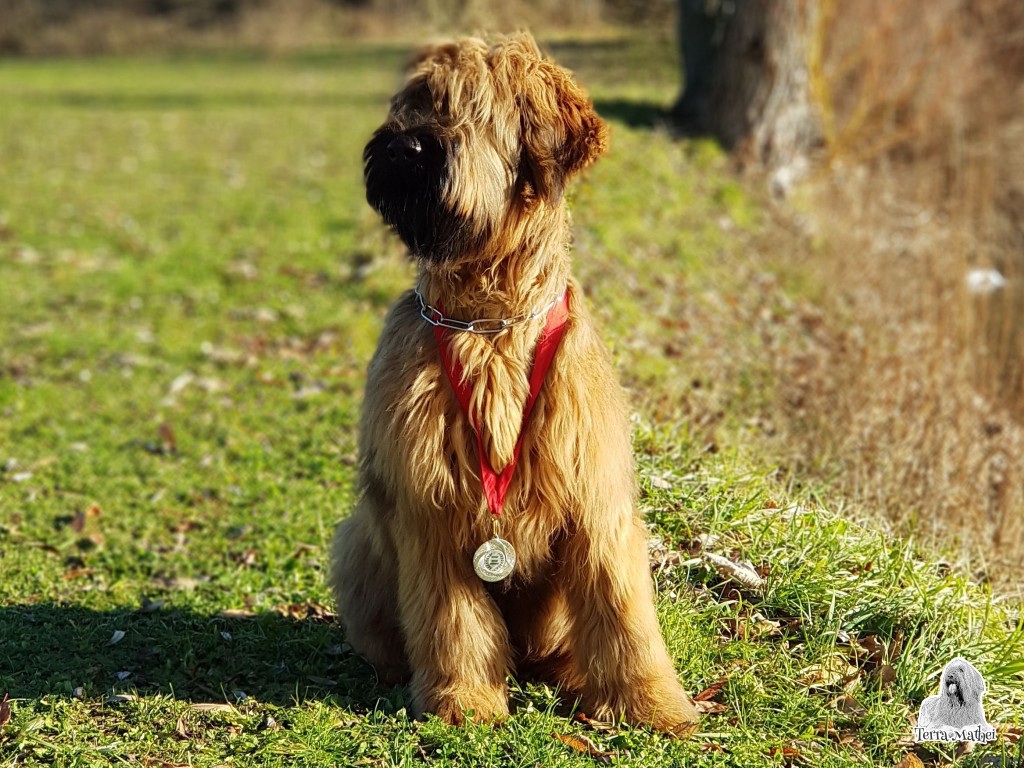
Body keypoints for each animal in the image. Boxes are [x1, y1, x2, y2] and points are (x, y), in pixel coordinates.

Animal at [331, 31, 700, 741]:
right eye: (413, 99)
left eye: (471, 107)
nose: (399, 147)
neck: (489, 321)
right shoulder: (434, 509)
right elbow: (452, 620)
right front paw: (463, 701)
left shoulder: (595, 499)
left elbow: (623, 614)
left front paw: (651, 704)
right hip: (360, 541)